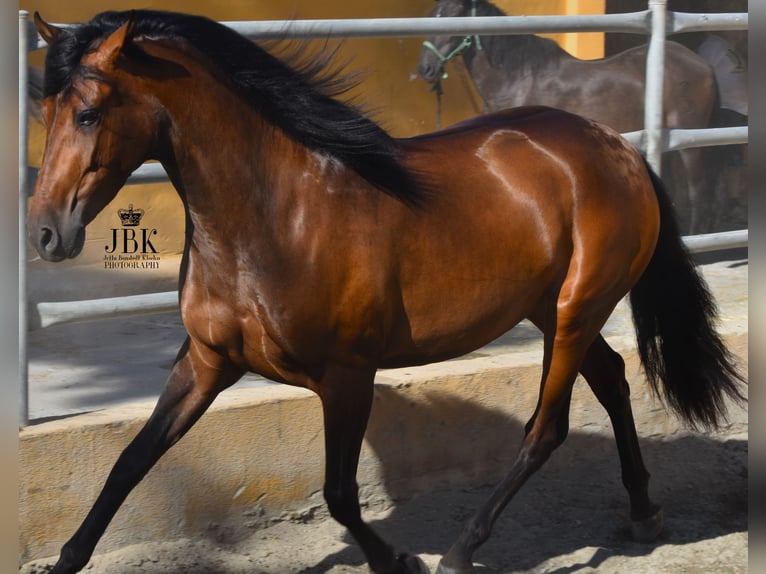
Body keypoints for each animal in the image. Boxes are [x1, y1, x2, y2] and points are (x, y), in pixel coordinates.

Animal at [416, 0, 724, 236]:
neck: (520, 79)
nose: (425, 68)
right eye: (433, 13)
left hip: (690, 141)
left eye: (454, 13)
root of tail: (701, 64)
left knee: (699, 192)